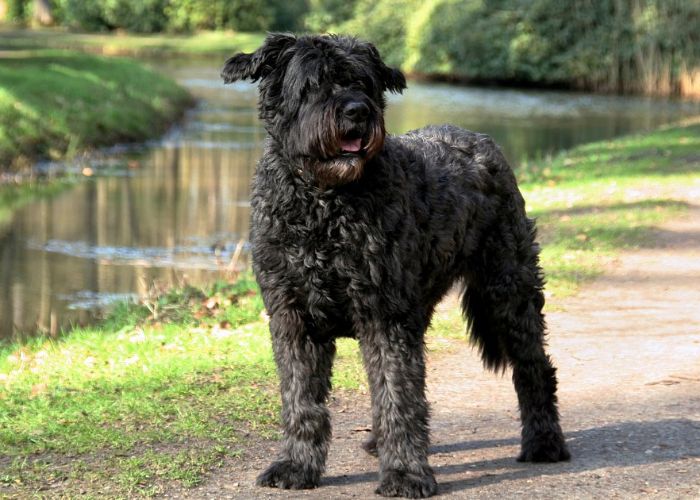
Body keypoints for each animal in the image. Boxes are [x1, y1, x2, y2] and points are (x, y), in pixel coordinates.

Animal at [221, 33, 572, 498]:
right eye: (314, 82)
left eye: (363, 83)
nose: (356, 111)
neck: (325, 205)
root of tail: (481, 141)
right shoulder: (294, 318)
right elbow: (301, 399)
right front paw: (296, 464)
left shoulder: (385, 317)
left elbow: (397, 393)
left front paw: (405, 472)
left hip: (509, 293)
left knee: (535, 369)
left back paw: (544, 441)